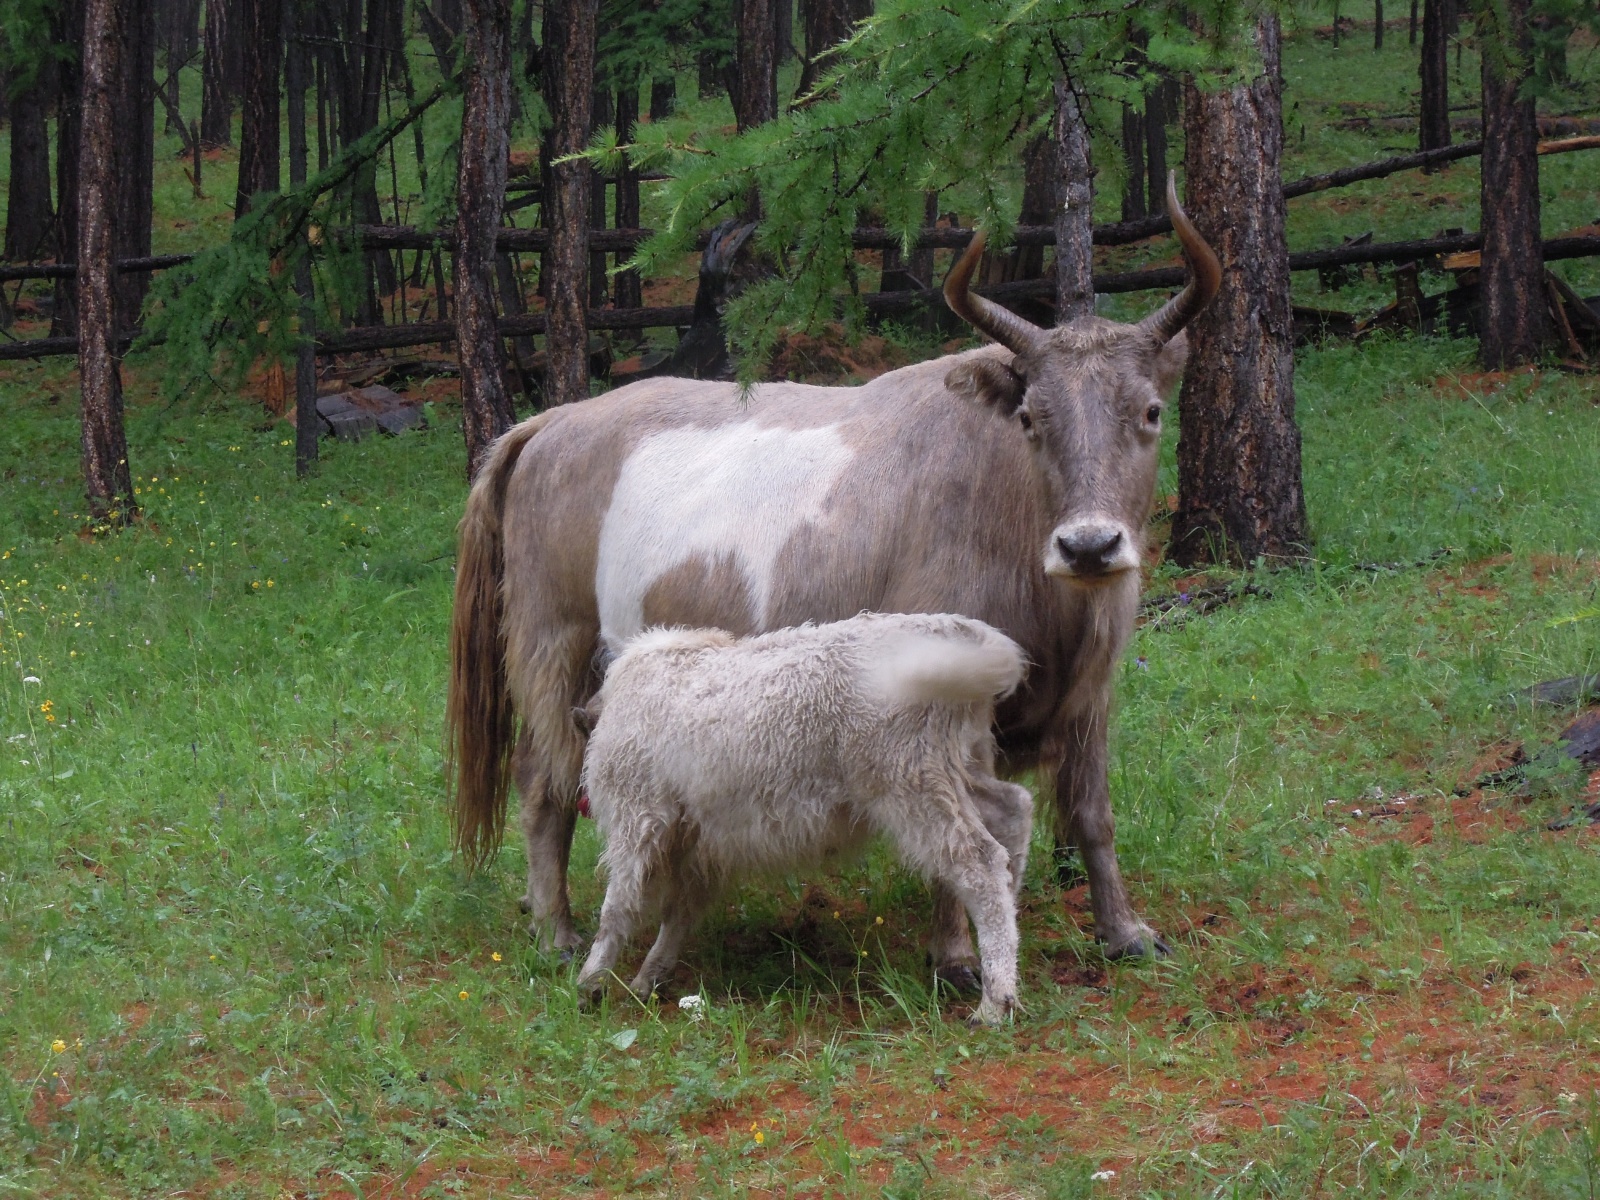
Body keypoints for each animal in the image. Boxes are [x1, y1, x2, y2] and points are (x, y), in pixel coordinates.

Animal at [575, 613, 1034, 1024]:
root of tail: (958, 630)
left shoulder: (639, 818)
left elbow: (617, 908)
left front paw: (590, 984)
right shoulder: (699, 844)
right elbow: (678, 913)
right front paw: (647, 979)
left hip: (912, 783)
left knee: (980, 863)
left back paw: (995, 1003)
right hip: (961, 767)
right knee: (1014, 812)